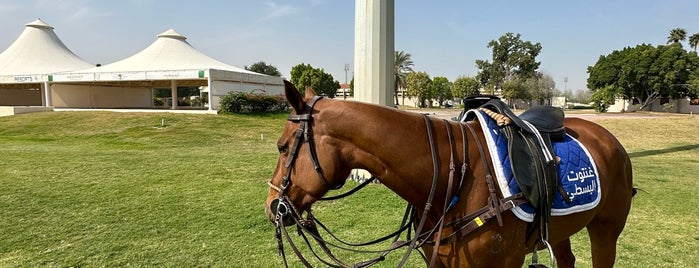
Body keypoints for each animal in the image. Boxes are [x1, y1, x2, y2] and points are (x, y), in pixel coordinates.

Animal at [266, 80, 636, 266]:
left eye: (282, 147)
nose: (273, 206)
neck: (450, 179)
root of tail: (610, 140)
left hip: (606, 231)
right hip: (561, 230)